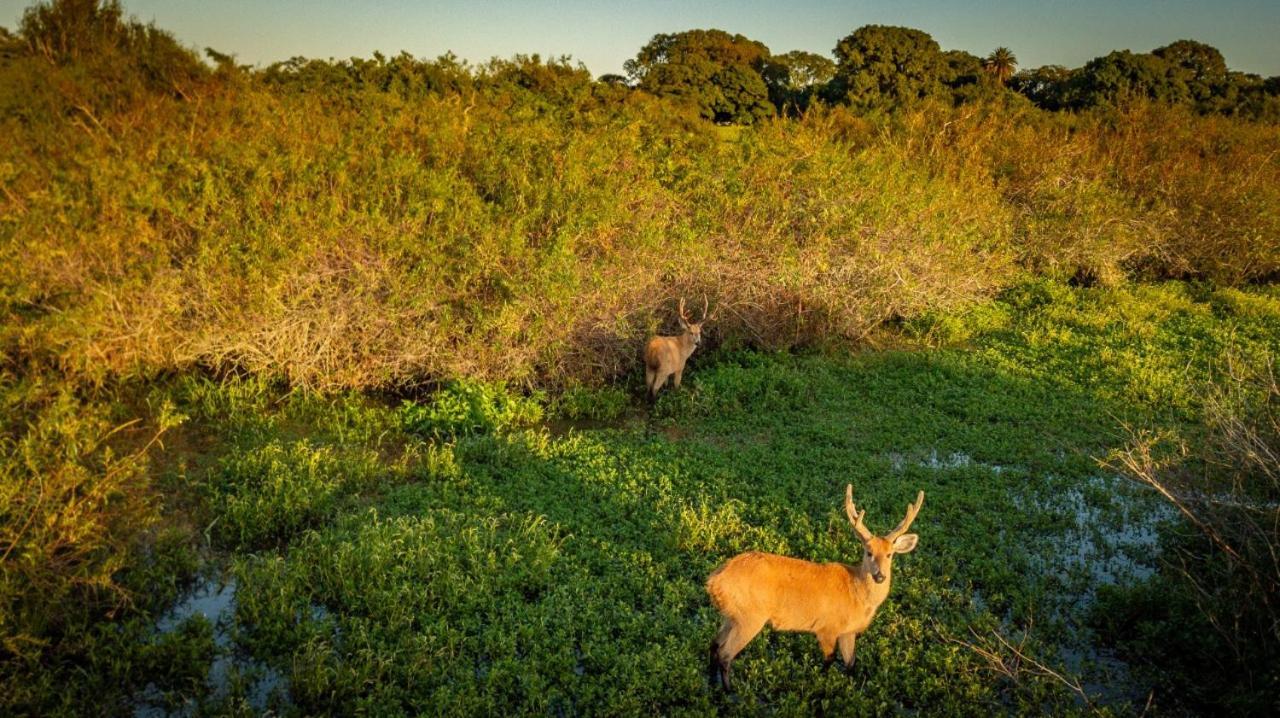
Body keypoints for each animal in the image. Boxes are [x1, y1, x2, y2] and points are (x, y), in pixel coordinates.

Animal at [706, 483, 926, 691]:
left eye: (890, 554)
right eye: (868, 552)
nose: (880, 576)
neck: (857, 595)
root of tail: (714, 581)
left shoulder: (848, 632)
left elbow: (851, 664)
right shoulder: (827, 628)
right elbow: (829, 660)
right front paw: (821, 688)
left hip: (731, 615)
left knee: (714, 644)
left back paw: (712, 685)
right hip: (749, 616)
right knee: (725, 654)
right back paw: (730, 692)